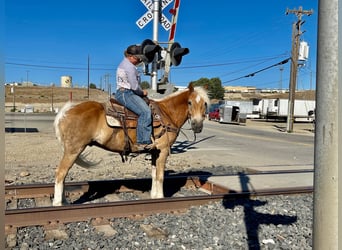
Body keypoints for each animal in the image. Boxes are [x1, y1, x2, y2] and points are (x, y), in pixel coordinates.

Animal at [52, 83, 210, 206]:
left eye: (205, 104)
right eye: (189, 102)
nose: (197, 126)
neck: (166, 114)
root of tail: (66, 111)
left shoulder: (155, 152)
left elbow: (154, 175)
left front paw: (153, 196)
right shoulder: (163, 150)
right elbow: (160, 176)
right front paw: (160, 197)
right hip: (74, 149)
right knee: (61, 173)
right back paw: (59, 203)